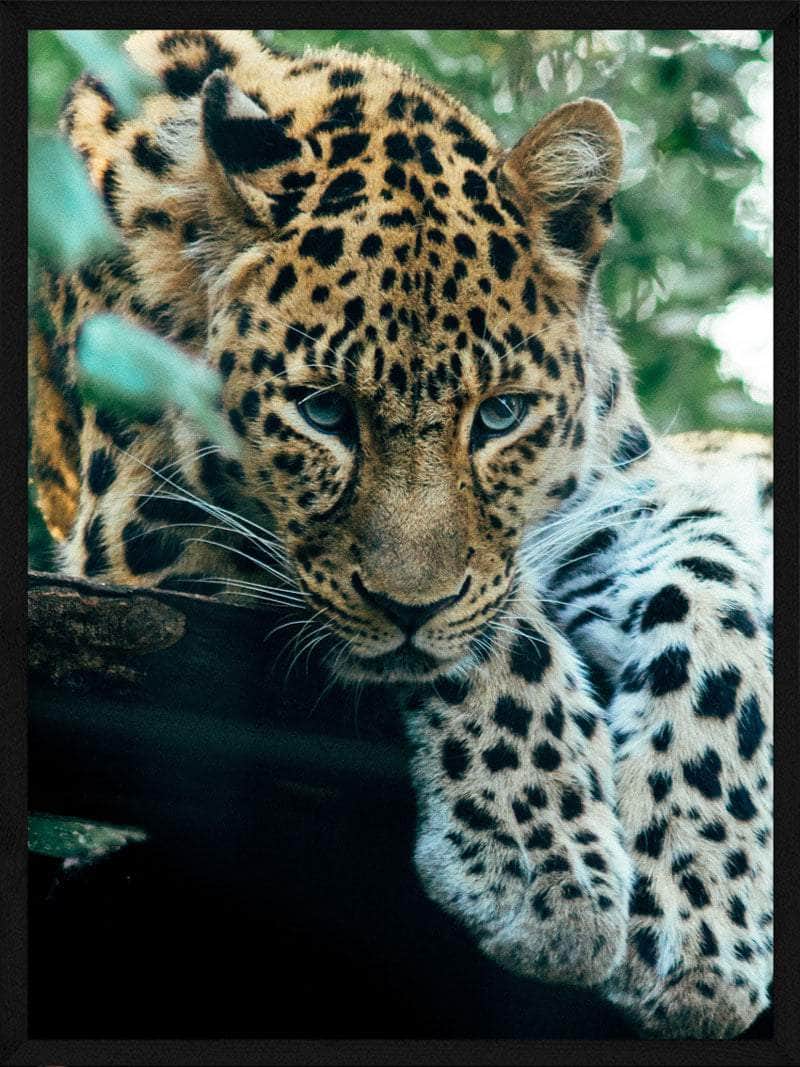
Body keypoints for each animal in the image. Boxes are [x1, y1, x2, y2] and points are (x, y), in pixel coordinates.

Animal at [29, 29, 773, 1039]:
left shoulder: (625, 497)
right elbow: (500, 631)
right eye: (322, 411)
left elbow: (716, 618)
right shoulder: (144, 526)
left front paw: (702, 919)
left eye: (500, 414)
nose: (409, 606)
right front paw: (548, 876)